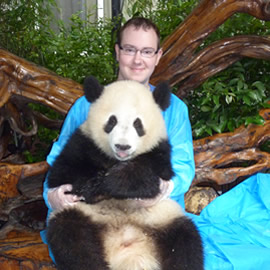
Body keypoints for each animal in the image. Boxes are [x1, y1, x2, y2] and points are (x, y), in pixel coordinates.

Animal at [46, 76, 204, 270]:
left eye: (138, 124)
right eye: (112, 121)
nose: (122, 146)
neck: (116, 160)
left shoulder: (160, 152)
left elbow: (150, 179)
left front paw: (109, 182)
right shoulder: (82, 142)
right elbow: (61, 173)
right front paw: (92, 185)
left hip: (163, 217)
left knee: (185, 242)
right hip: (81, 213)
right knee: (71, 239)